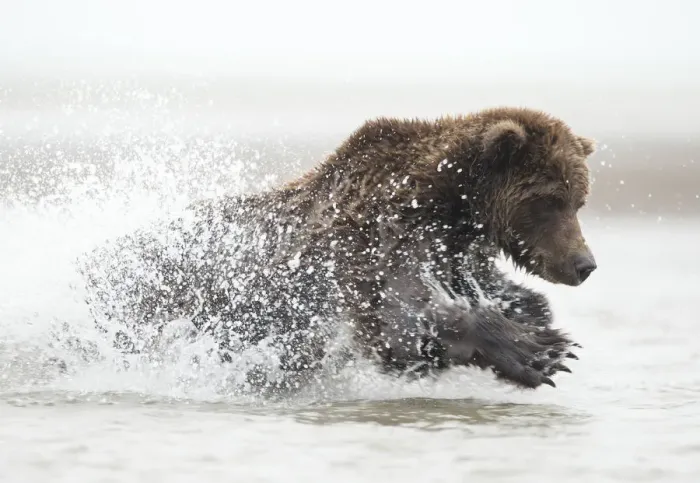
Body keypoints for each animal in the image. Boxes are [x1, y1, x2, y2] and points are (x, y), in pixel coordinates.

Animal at [77, 106, 597, 396]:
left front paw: (540, 322)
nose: (584, 264)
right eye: (549, 200)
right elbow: (399, 323)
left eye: (578, 199)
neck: (451, 205)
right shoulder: (377, 240)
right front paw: (540, 351)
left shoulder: (451, 252)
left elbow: (495, 292)